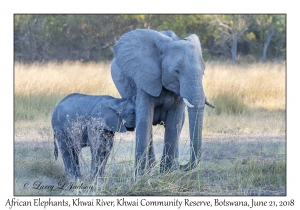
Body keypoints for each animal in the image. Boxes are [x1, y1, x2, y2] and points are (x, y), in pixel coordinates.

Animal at [110, 29, 213, 174]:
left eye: (203, 72)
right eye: (176, 71)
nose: (182, 165)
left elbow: (174, 123)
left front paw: (166, 172)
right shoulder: (145, 79)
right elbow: (144, 120)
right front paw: (140, 175)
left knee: (180, 122)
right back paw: (151, 168)